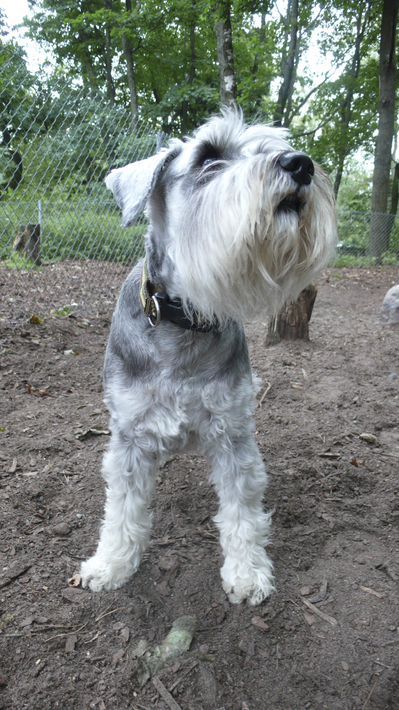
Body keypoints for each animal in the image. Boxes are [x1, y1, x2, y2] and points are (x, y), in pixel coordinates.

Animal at [81, 110, 338, 608]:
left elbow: (242, 510)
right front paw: (111, 564)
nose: (300, 164)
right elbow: (122, 507)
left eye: (276, 146)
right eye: (208, 157)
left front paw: (248, 571)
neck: (186, 321)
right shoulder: (129, 438)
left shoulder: (233, 433)